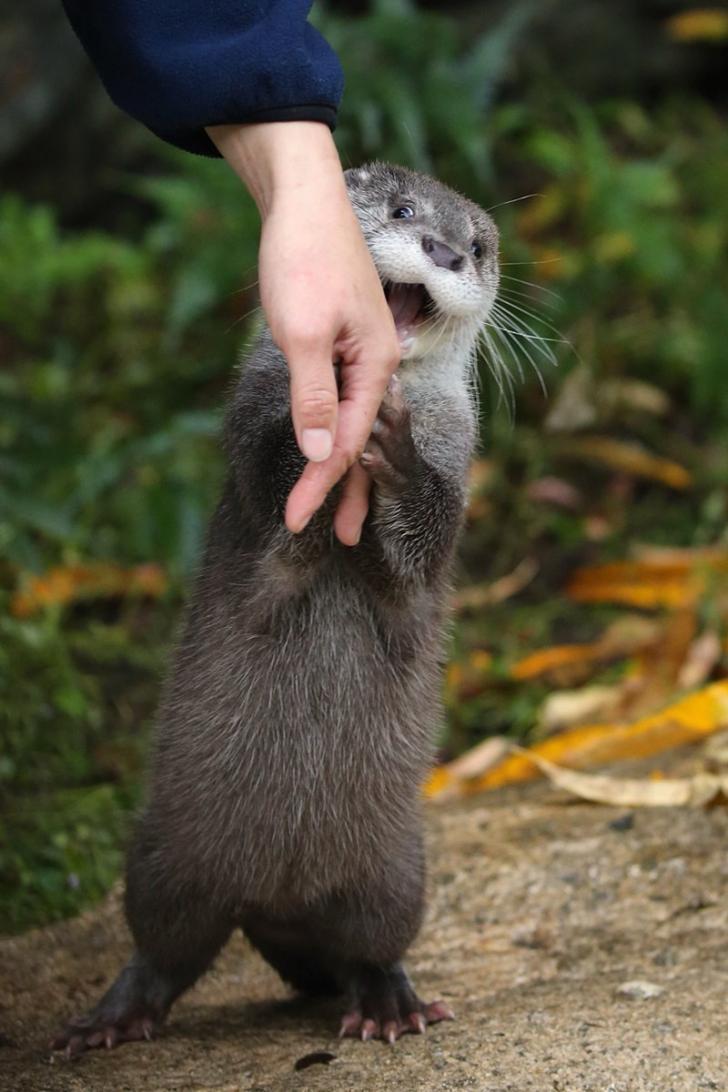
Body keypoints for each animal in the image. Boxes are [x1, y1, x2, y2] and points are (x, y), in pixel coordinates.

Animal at [52, 163, 502, 1057]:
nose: (442, 251)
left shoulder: (453, 481)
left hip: (396, 872)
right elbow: (280, 491)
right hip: (164, 857)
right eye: (403, 209)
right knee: (164, 947)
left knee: (371, 946)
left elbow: (417, 550)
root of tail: (279, 902)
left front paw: (396, 455)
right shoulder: (254, 432)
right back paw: (116, 1016)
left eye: (476, 247)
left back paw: (389, 1001)